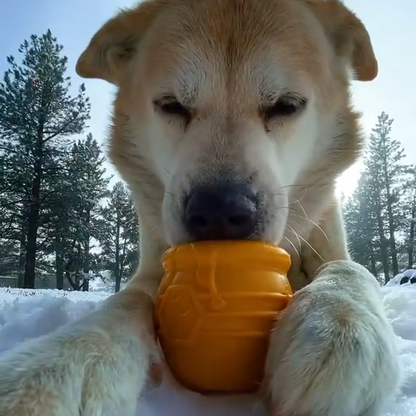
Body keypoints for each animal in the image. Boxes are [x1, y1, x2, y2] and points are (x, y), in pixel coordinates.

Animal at [0, 0, 404, 416]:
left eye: (287, 106)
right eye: (171, 106)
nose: (219, 212)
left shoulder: (327, 237)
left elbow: (350, 269)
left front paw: (339, 322)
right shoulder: (152, 269)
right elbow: (126, 301)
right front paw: (61, 363)